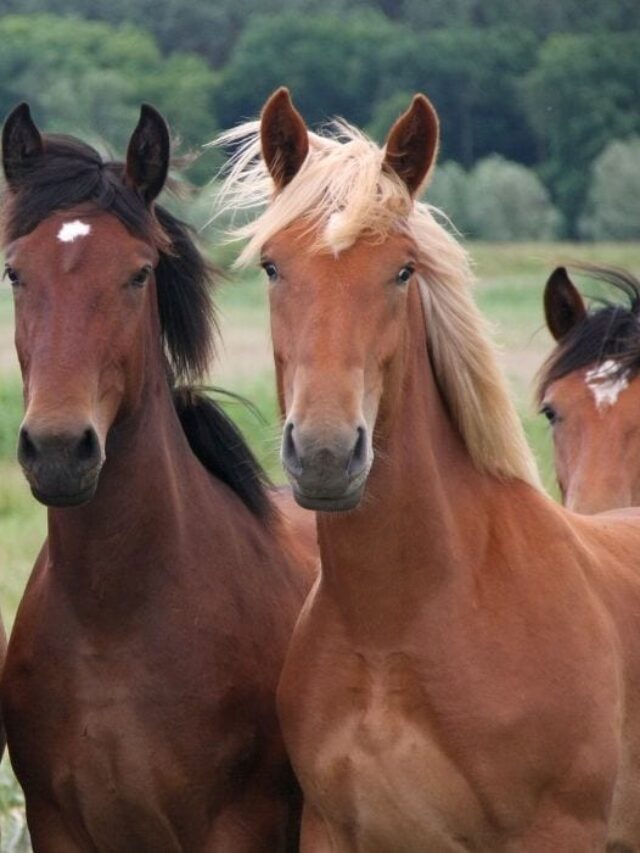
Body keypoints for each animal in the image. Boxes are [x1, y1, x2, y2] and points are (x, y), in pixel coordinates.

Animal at [1, 102, 315, 851]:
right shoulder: (58, 827)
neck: (112, 620)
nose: (59, 448)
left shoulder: (238, 827)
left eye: (139, 274)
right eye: (15, 273)